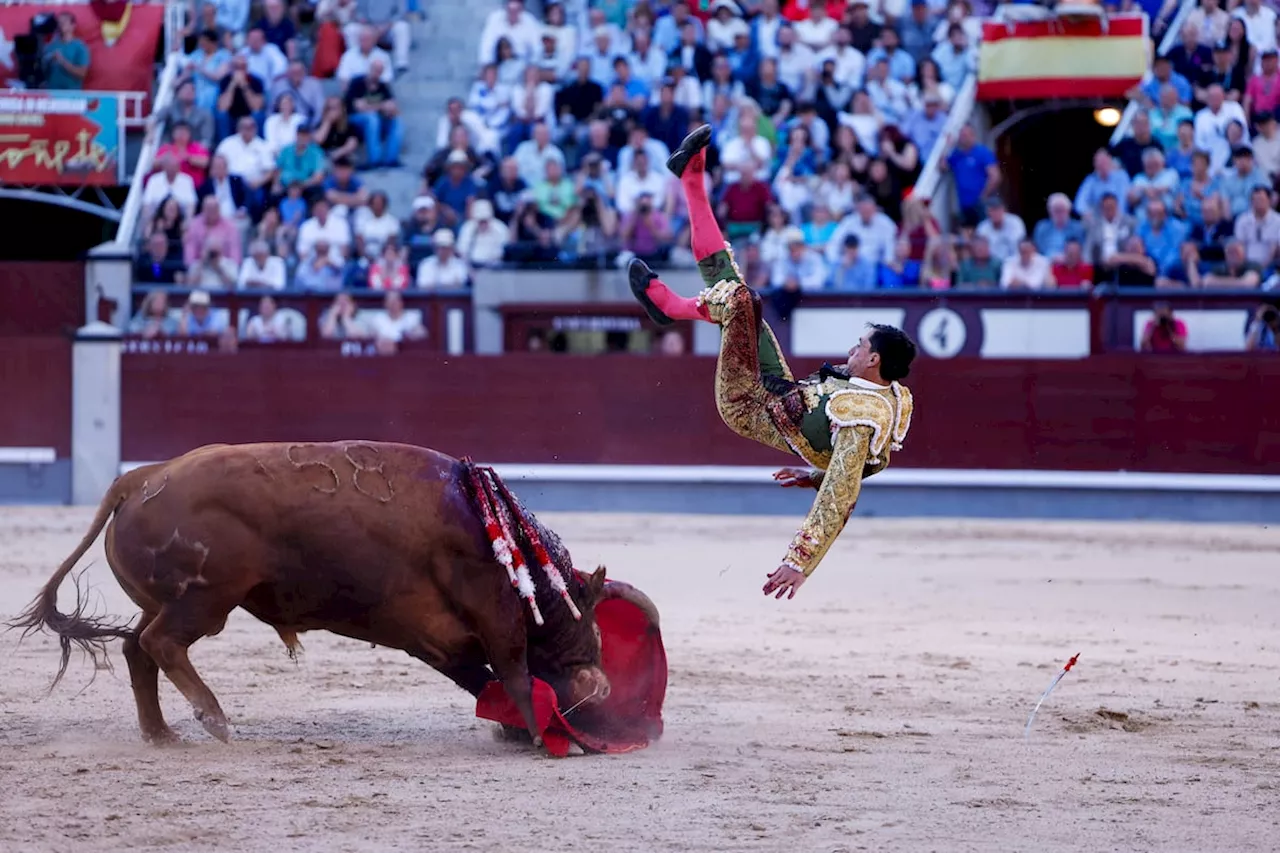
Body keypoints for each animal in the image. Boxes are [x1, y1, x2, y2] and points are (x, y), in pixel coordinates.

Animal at [7, 440, 650, 747]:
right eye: (591, 630)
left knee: (137, 648)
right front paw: (539, 735)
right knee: (162, 644)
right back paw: (214, 719)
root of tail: (140, 478)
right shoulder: (493, 613)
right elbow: (513, 671)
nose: (606, 695)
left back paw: (162, 734)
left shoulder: (434, 638)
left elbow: (483, 680)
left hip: (168, 600)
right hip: (205, 600)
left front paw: (516, 730)